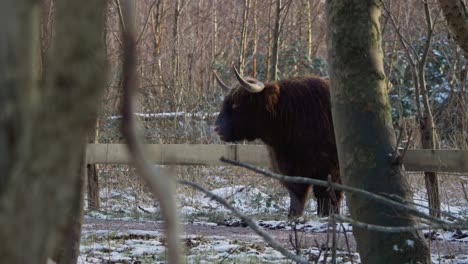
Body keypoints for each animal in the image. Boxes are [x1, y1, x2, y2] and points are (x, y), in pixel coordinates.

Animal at [214, 66, 342, 217]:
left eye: (236, 105)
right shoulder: (289, 168)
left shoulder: (329, 168)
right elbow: (296, 195)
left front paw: (327, 216)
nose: (216, 128)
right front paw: (293, 216)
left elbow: (327, 196)